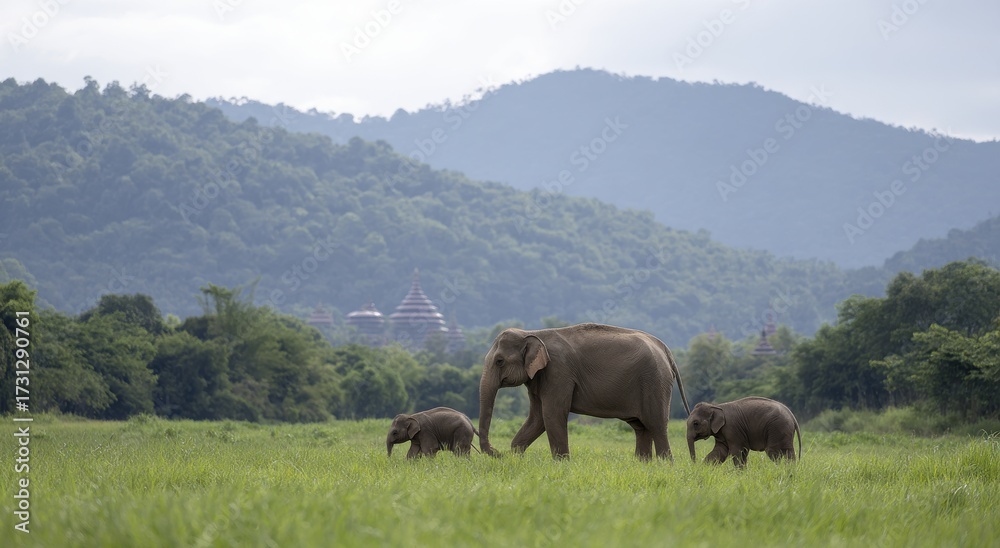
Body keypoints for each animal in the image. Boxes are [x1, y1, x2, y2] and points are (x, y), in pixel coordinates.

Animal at [478, 323, 691, 460]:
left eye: (499, 361)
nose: (497, 452)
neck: (532, 332)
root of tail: (665, 350)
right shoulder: (539, 377)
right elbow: (537, 418)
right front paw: (515, 457)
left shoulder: (559, 372)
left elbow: (552, 414)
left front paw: (562, 464)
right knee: (641, 427)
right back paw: (642, 465)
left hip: (654, 382)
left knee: (657, 425)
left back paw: (665, 466)